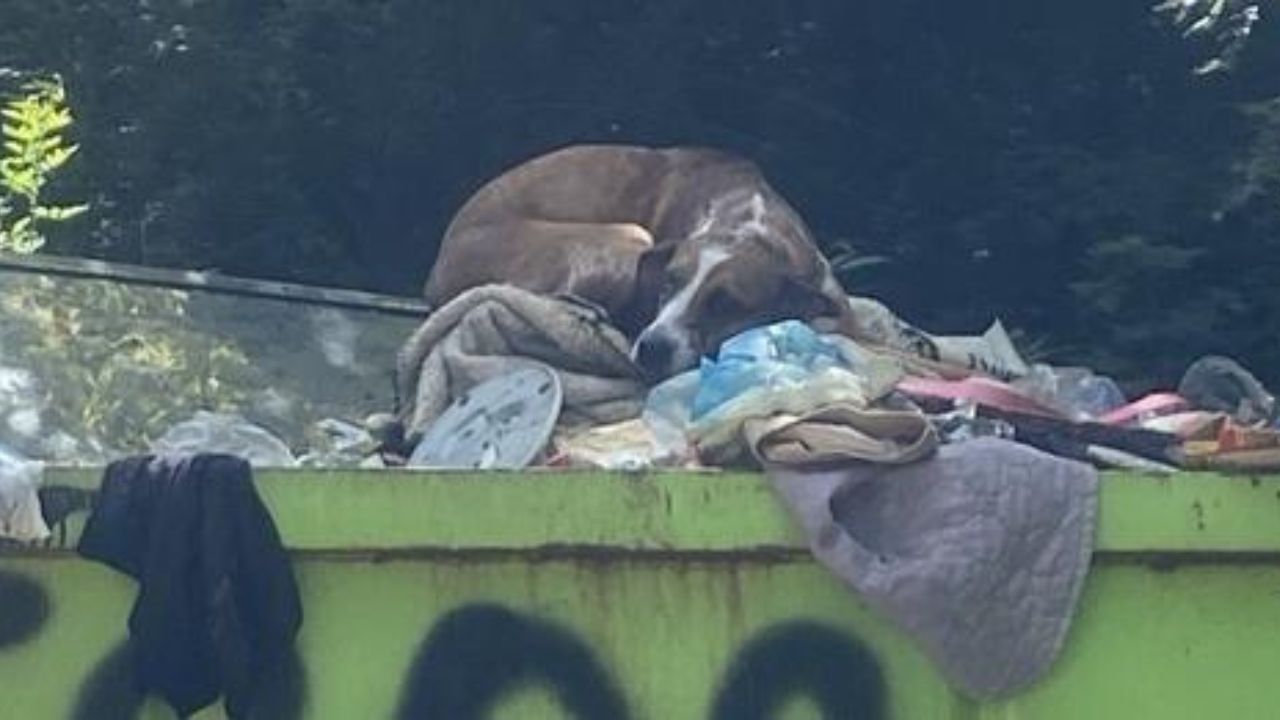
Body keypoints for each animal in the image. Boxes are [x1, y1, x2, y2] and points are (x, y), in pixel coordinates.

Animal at [422, 141, 860, 381]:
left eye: (726, 304)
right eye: (668, 282)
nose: (651, 348)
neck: (752, 226)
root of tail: (438, 268)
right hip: (626, 235)